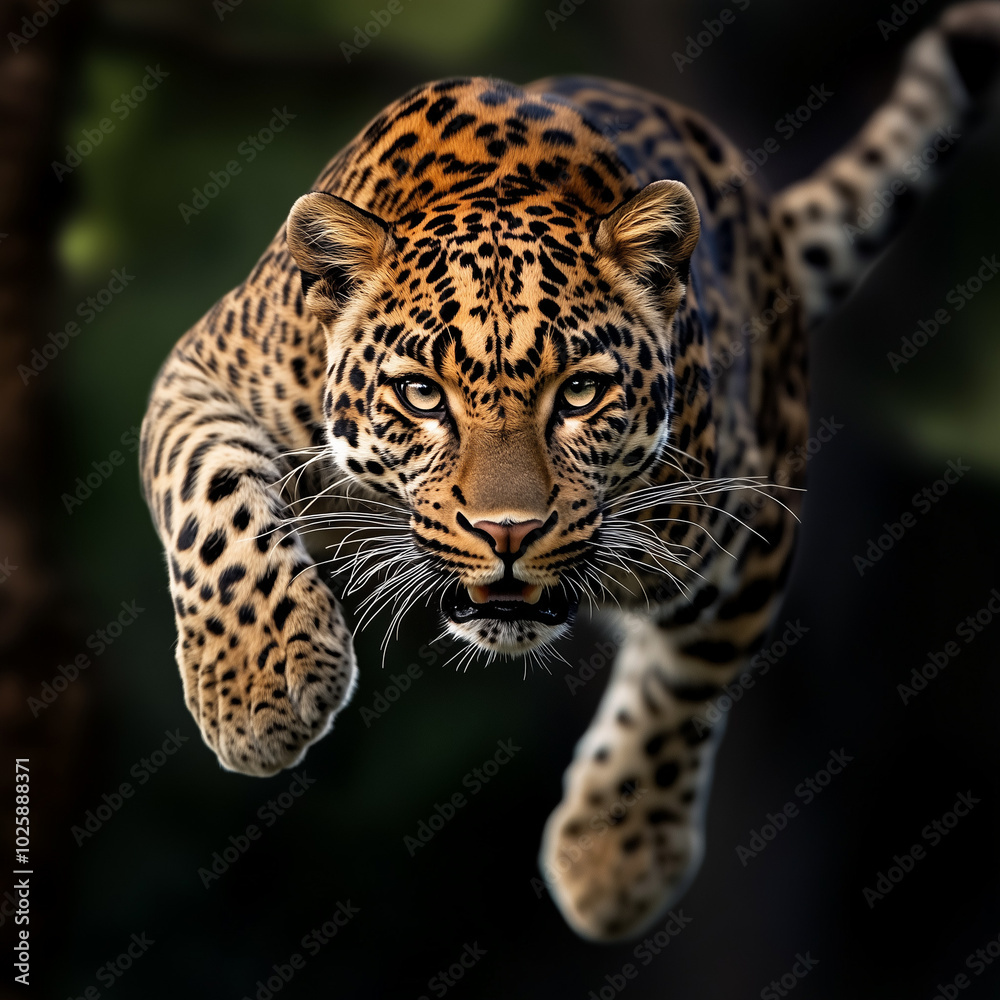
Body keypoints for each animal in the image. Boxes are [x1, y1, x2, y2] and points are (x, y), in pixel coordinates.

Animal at [139, 2, 1000, 941]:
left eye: (581, 392)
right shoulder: (199, 371)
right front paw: (256, 688)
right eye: (421, 394)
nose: (506, 532)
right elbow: (212, 496)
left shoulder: (745, 513)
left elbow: (686, 680)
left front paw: (616, 859)